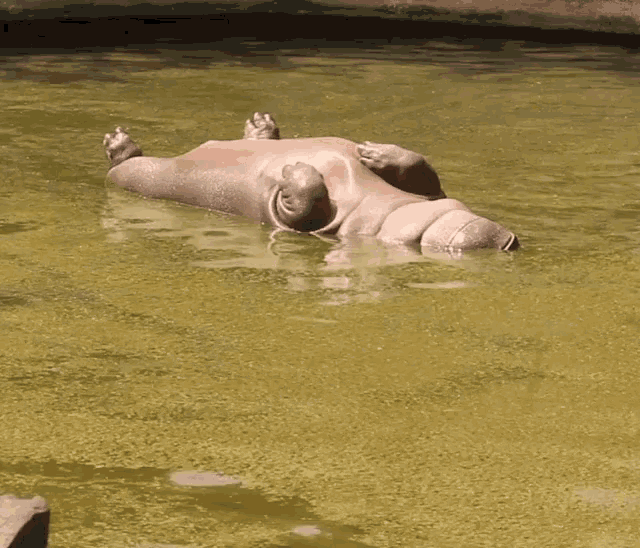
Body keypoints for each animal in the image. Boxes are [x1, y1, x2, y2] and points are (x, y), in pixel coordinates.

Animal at [103, 113, 519, 252]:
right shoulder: (432, 192)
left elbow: (302, 199)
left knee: (129, 163)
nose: (506, 238)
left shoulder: (299, 220)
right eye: (458, 208)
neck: (391, 210)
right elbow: (422, 166)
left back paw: (118, 144)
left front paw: (291, 170)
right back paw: (260, 127)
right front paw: (373, 153)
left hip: (145, 177)